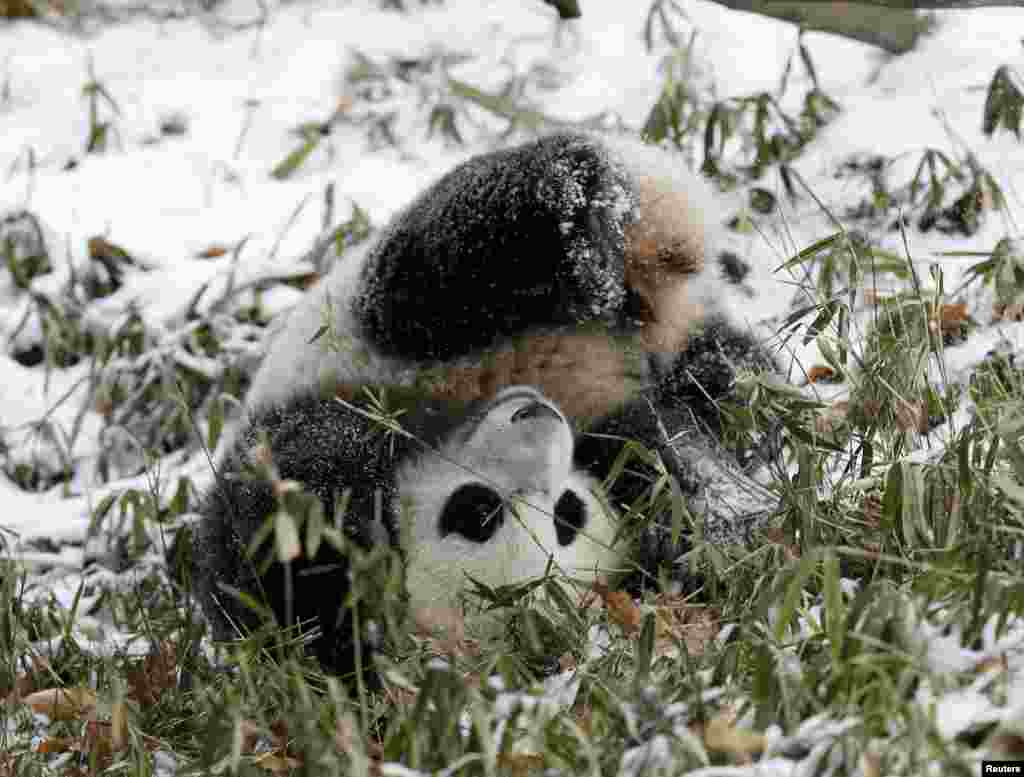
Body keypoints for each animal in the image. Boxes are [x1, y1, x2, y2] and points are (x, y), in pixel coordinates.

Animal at [192, 130, 778, 683]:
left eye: (567, 513)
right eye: (477, 512)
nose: (537, 420)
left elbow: (296, 499)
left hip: (392, 312)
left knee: (457, 249)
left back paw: (583, 214)